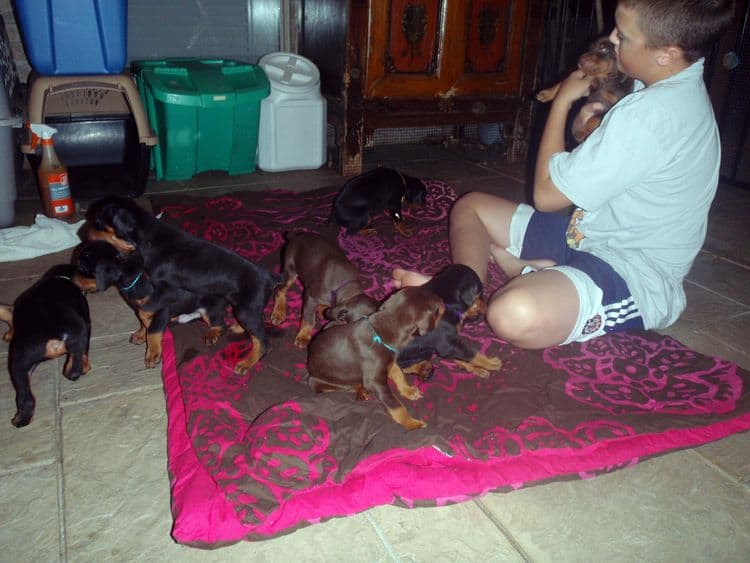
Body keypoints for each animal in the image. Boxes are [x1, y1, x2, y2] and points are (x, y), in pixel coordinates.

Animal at [0, 264, 94, 428]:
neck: (61, 277)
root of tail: (55, 335)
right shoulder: (86, 322)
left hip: (19, 362)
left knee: (25, 398)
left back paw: (20, 420)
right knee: (74, 367)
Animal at [83, 196, 282, 376]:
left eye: (98, 222)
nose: (82, 234)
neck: (148, 238)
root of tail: (269, 277)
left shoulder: (166, 291)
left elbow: (145, 311)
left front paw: (152, 345)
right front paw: (141, 333)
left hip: (245, 309)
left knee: (263, 341)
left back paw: (246, 362)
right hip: (245, 307)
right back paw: (238, 328)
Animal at [306, 286, 444, 432]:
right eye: (439, 306)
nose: (445, 303)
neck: (380, 333)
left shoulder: (389, 361)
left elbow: (399, 374)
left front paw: (408, 390)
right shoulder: (375, 381)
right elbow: (395, 405)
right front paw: (412, 424)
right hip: (319, 382)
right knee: (346, 386)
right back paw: (361, 390)